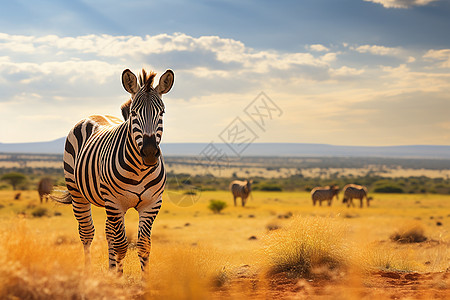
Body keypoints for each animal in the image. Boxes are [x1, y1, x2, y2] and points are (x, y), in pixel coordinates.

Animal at [51, 68, 174, 274]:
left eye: (162, 112)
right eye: (133, 113)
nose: (149, 153)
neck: (140, 169)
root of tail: (95, 114)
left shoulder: (152, 204)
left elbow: (143, 245)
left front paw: (142, 280)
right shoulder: (116, 203)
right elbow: (121, 245)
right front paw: (117, 277)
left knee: (109, 232)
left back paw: (110, 268)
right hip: (78, 193)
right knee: (87, 233)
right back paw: (88, 272)